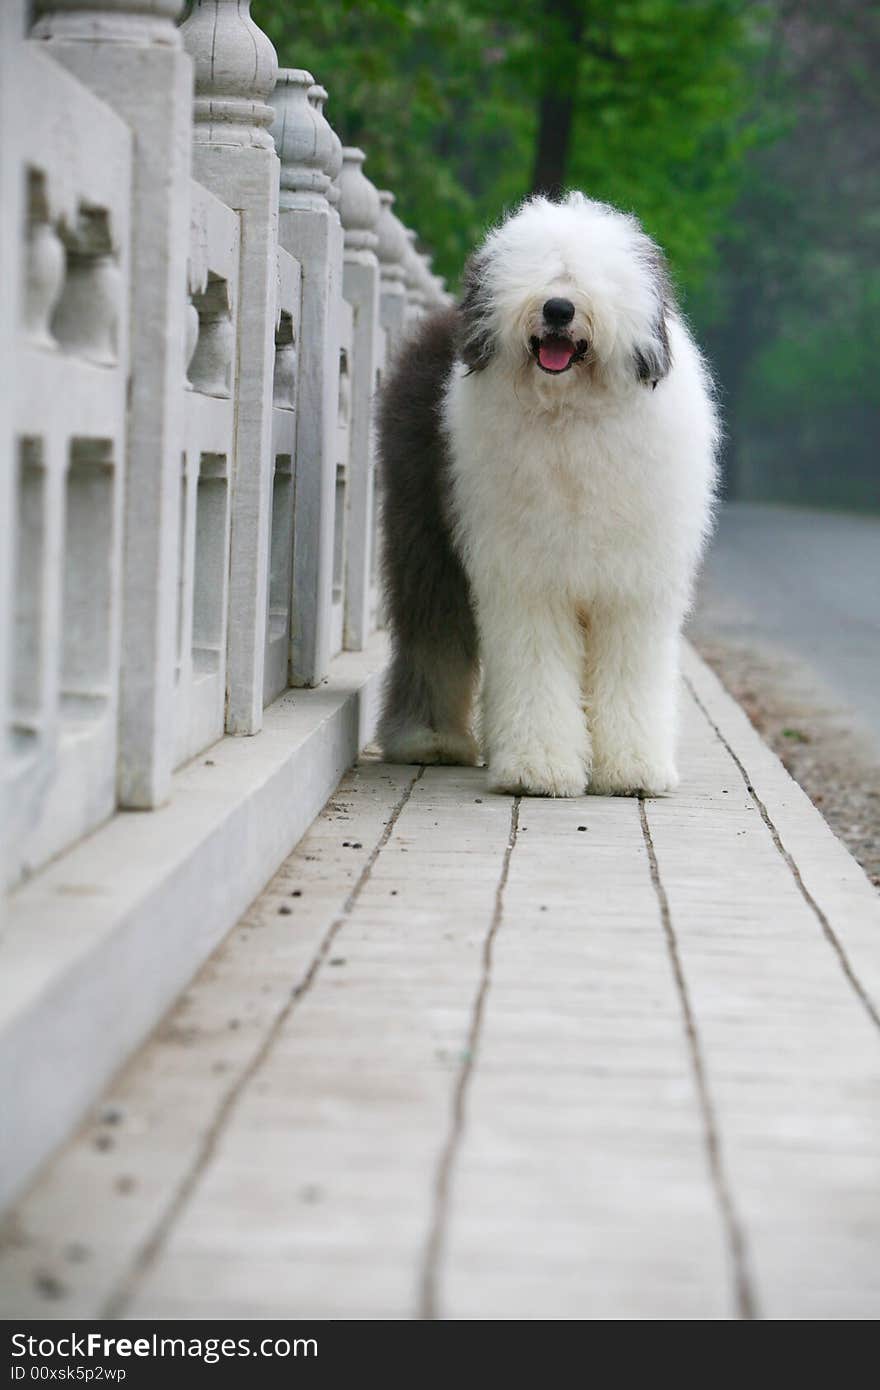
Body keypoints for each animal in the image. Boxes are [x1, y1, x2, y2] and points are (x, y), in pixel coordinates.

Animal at [375, 191, 717, 800]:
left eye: (588, 278)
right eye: (536, 271)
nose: (558, 308)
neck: (569, 415)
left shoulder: (633, 588)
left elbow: (631, 673)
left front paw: (633, 769)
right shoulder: (527, 579)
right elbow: (534, 667)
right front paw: (539, 768)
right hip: (426, 530)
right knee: (433, 632)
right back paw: (430, 739)